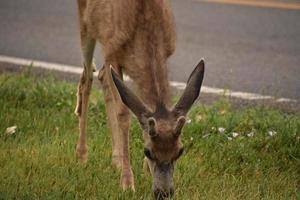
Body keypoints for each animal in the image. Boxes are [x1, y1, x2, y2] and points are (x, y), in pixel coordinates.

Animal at [74, 0, 205, 198]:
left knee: (102, 76)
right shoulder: (113, 51)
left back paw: (116, 159)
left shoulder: (166, 52)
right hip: (86, 25)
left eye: (180, 151)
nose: (163, 193)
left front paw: (143, 170)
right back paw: (82, 154)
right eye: (148, 151)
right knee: (87, 77)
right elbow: (123, 114)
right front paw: (127, 183)